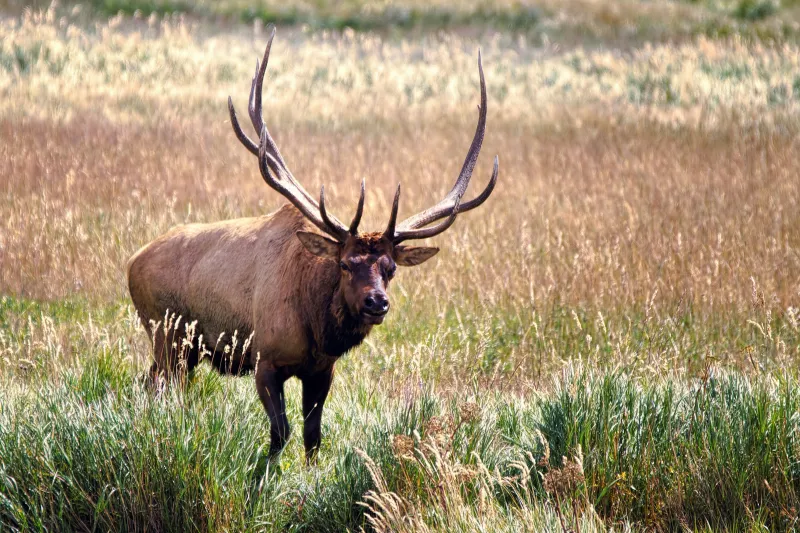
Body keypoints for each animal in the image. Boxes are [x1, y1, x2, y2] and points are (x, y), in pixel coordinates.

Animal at [126, 28, 499, 461]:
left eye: (390, 270)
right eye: (345, 263)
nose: (377, 302)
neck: (315, 326)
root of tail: (132, 262)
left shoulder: (322, 370)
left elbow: (313, 436)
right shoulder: (265, 359)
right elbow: (280, 433)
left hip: (182, 350)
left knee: (150, 386)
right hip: (165, 336)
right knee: (157, 389)